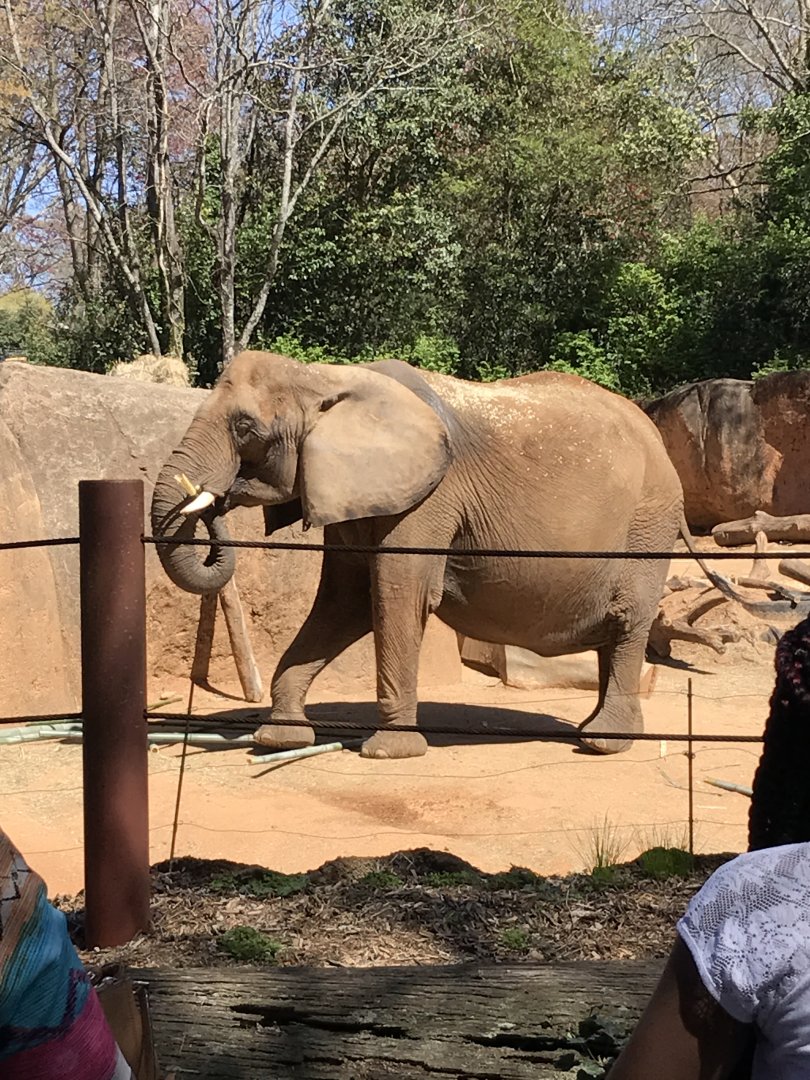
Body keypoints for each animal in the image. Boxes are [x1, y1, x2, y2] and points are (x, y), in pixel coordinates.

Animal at [151, 350, 712, 759]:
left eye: (245, 428)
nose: (215, 498)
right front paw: (279, 739)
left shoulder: (428, 499)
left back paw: (602, 744)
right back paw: (594, 731)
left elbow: (396, 596)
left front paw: (389, 752)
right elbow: (344, 602)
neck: (325, 376)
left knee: (627, 623)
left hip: (647, 524)